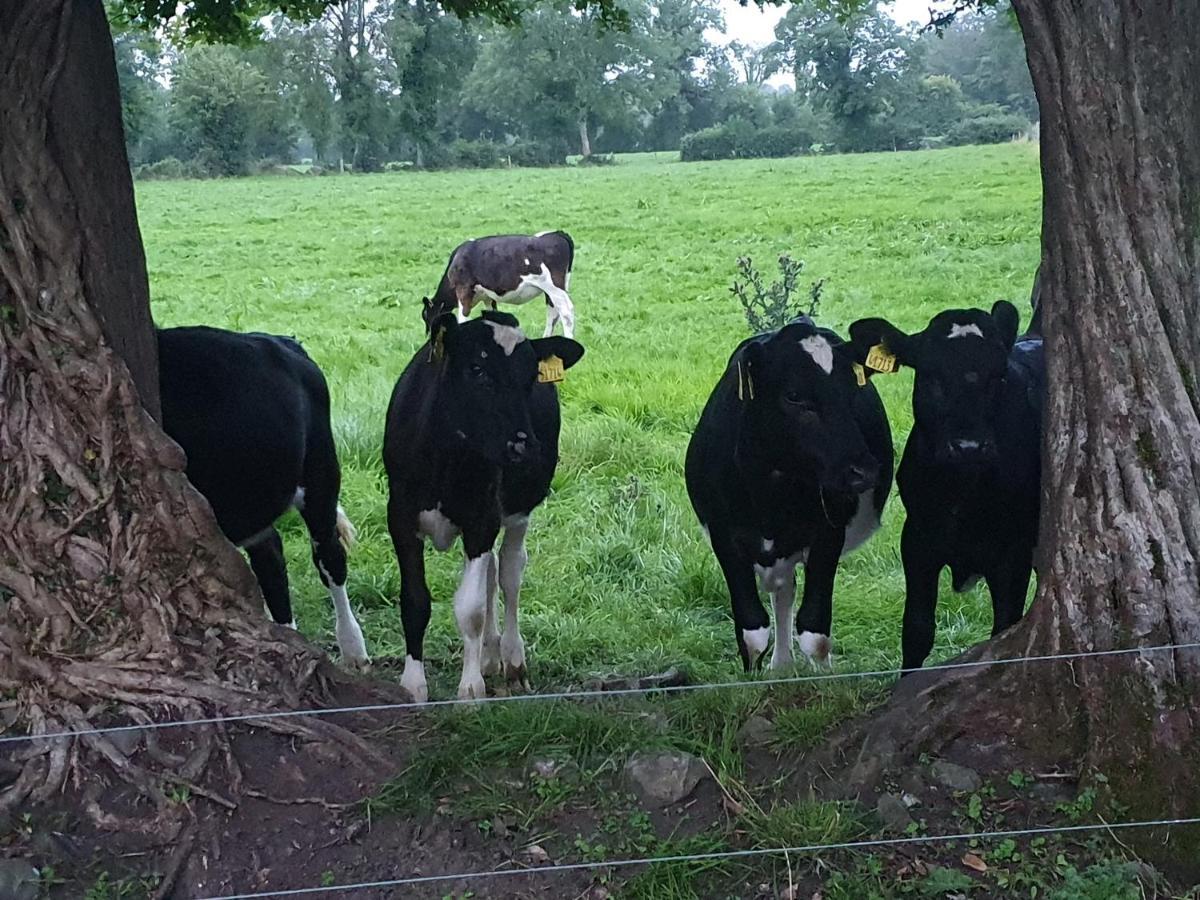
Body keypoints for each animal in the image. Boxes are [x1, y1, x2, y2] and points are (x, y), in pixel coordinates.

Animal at [384, 309, 585, 705]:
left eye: (530, 376)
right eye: (476, 369)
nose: (524, 445)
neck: (444, 460)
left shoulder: (482, 518)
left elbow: (471, 609)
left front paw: (470, 689)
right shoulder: (400, 515)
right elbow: (415, 601)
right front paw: (413, 685)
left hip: (517, 510)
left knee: (508, 572)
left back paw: (511, 660)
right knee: (492, 573)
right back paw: (491, 656)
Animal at [422, 230, 576, 340]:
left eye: (425, 315)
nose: (428, 336)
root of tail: (558, 233)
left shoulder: (463, 289)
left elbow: (463, 318)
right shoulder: (488, 297)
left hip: (553, 287)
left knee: (566, 312)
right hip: (555, 288)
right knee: (553, 312)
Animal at [686, 321, 892, 672]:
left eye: (852, 390)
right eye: (794, 395)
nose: (863, 470)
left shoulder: (828, 535)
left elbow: (815, 632)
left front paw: (823, 681)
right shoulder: (723, 536)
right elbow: (752, 631)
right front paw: (751, 680)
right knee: (782, 591)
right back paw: (781, 665)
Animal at [849, 300, 1046, 672]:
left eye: (999, 375)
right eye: (932, 374)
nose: (969, 447)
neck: (962, 495)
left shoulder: (1013, 552)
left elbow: (1003, 627)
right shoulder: (918, 539)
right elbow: (917, 629)